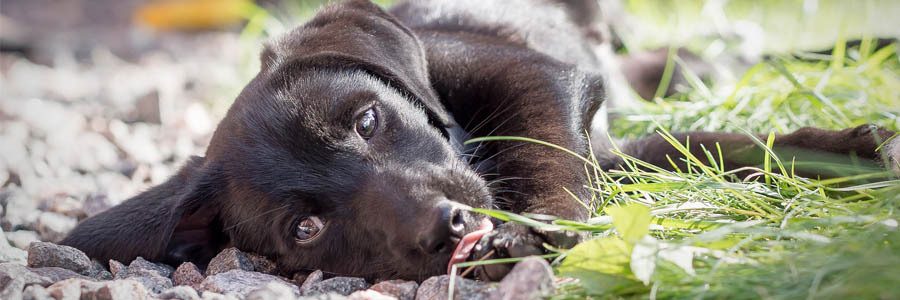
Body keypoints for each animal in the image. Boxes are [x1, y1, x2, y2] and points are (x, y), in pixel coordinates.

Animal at [59, 0, 896, 284]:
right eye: (306, 229)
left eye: (368, 121)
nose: (449, 229)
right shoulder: (611, 152)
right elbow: (711, 147)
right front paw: (844, 156)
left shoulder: (540, 79)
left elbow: (544, 155)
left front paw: (549, 230)